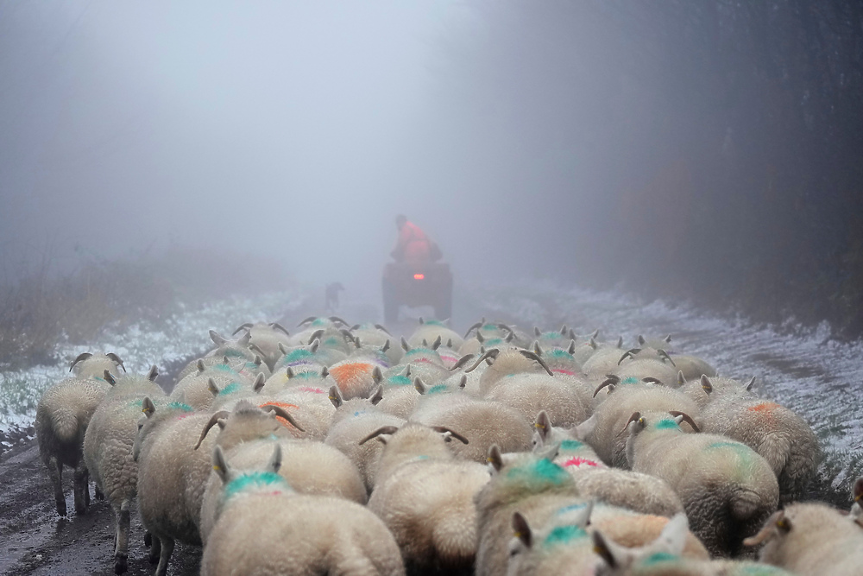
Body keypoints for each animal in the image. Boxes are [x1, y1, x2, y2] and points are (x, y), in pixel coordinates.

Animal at [35, 376, 111, 516]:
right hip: (84, 447)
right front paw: (96, 494)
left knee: (55, 473)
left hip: (47, 445)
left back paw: (61, 505)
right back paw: (80, 506)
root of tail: (65, 414)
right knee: (78, 474)